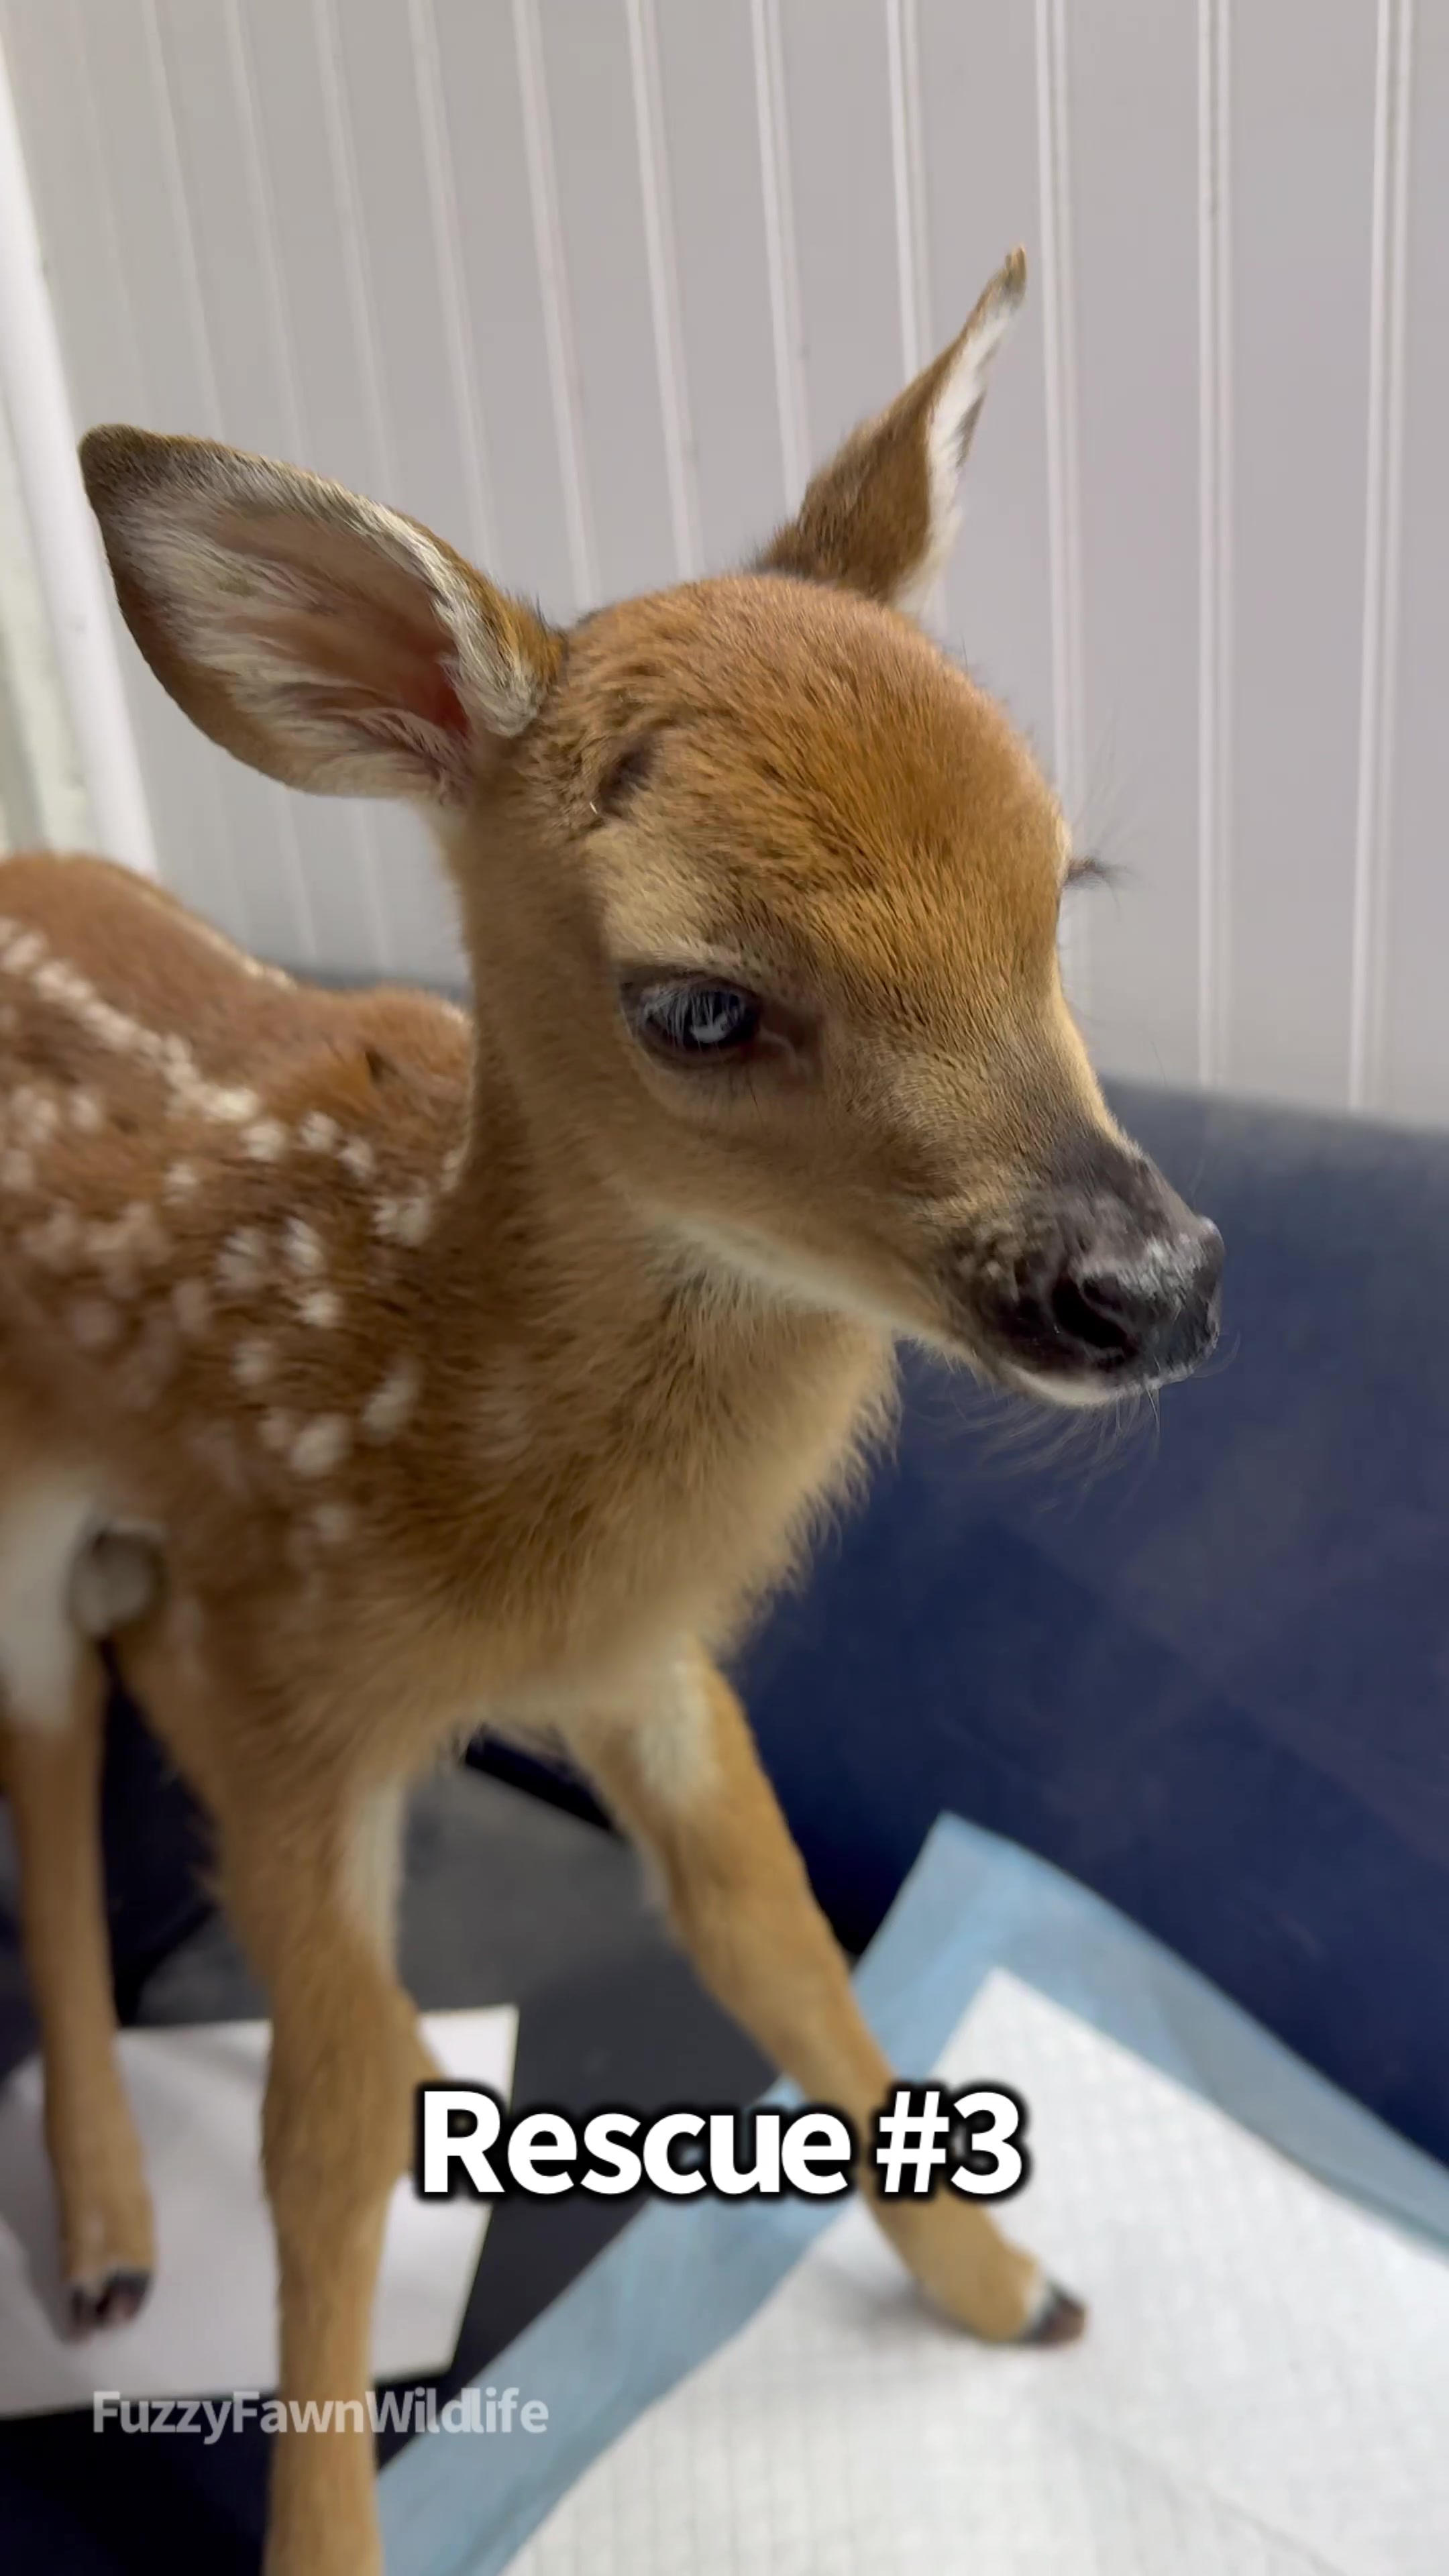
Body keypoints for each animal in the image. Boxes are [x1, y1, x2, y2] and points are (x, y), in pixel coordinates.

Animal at [0, 247, 1221, 2574]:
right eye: (702, 1007)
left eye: (1064, 887)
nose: (1153, 1283)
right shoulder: (295, 1691)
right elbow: (324, 2133)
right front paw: (324, 2538)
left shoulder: (641, 1666)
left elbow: (781, 1943)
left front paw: (1009, 2291)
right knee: (51, 1753)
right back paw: (104, 2238)